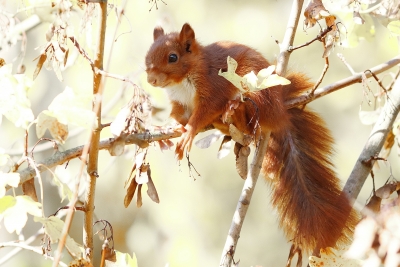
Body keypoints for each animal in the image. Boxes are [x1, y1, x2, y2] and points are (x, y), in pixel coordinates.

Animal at [145, 23, 356, 255]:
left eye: (173, 57)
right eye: (147, 55)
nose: (151, 80)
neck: (182, 82)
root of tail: (279, 113)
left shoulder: (213, 86)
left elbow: (205, 111)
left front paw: (189, 132)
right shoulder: (180, 104)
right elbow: (177, 116)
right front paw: (162, 128)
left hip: (254, 88)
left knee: (246, 116)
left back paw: (233, 110)